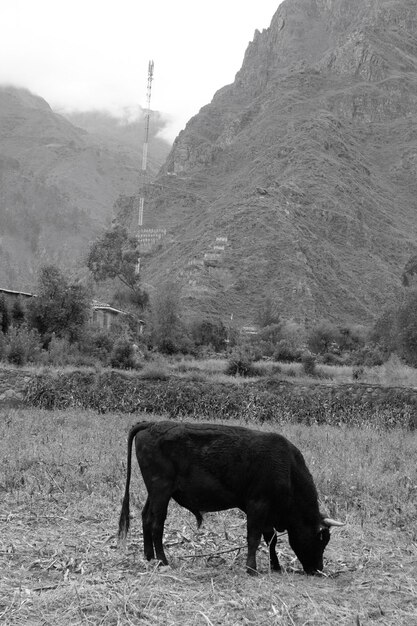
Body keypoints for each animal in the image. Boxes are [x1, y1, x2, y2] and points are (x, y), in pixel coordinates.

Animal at [118, 422, 344, 572]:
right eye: (321, 539)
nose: (318, 569)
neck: (287, 468)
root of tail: (152, 424)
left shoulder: (267, 512)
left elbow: (270, 540)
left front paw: (276, 566)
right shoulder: (258, 504)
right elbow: (253, 537)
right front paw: (251, 569)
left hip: (155, 492)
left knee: (146, 518)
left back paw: (149, 557)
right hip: (161, 491)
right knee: (157, 524)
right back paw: (163, 561)